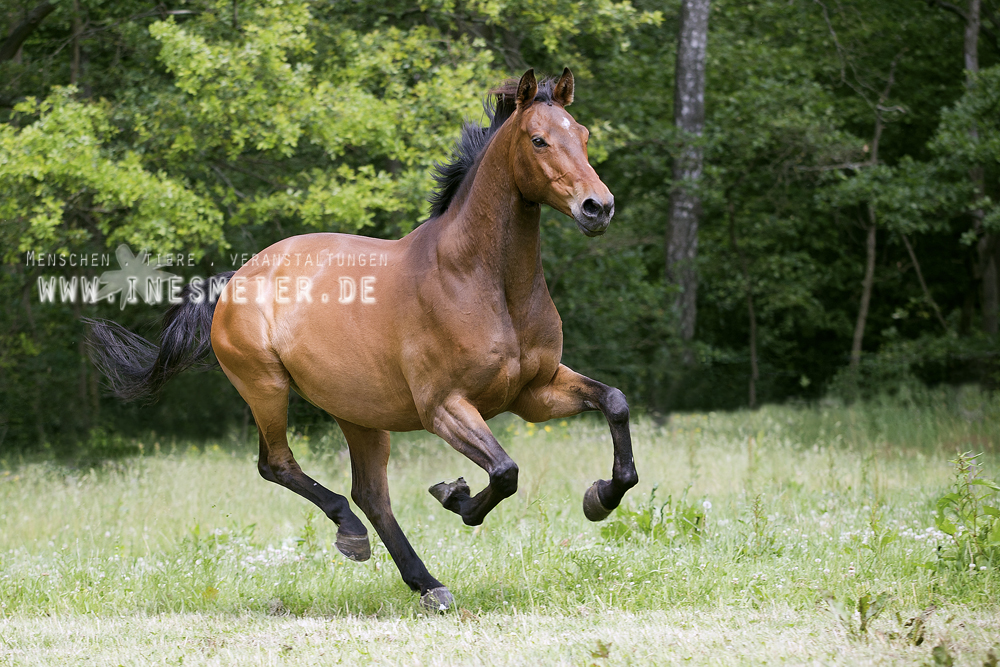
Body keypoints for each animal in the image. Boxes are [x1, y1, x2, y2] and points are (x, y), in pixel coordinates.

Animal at [92, 69, 640, 612]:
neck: (483, 281)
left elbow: (614, 403)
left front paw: (599, 498)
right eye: (538, 139)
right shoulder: (444, 407)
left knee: (371, 495)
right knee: (279, 465)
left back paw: (426, 583)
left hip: (358, 413)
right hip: (266, 389)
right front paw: (457, 498)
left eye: (583, 135)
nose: (599, 207)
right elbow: (505, 471)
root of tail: (233, 281)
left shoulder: (534, 392)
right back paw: (356, 537)